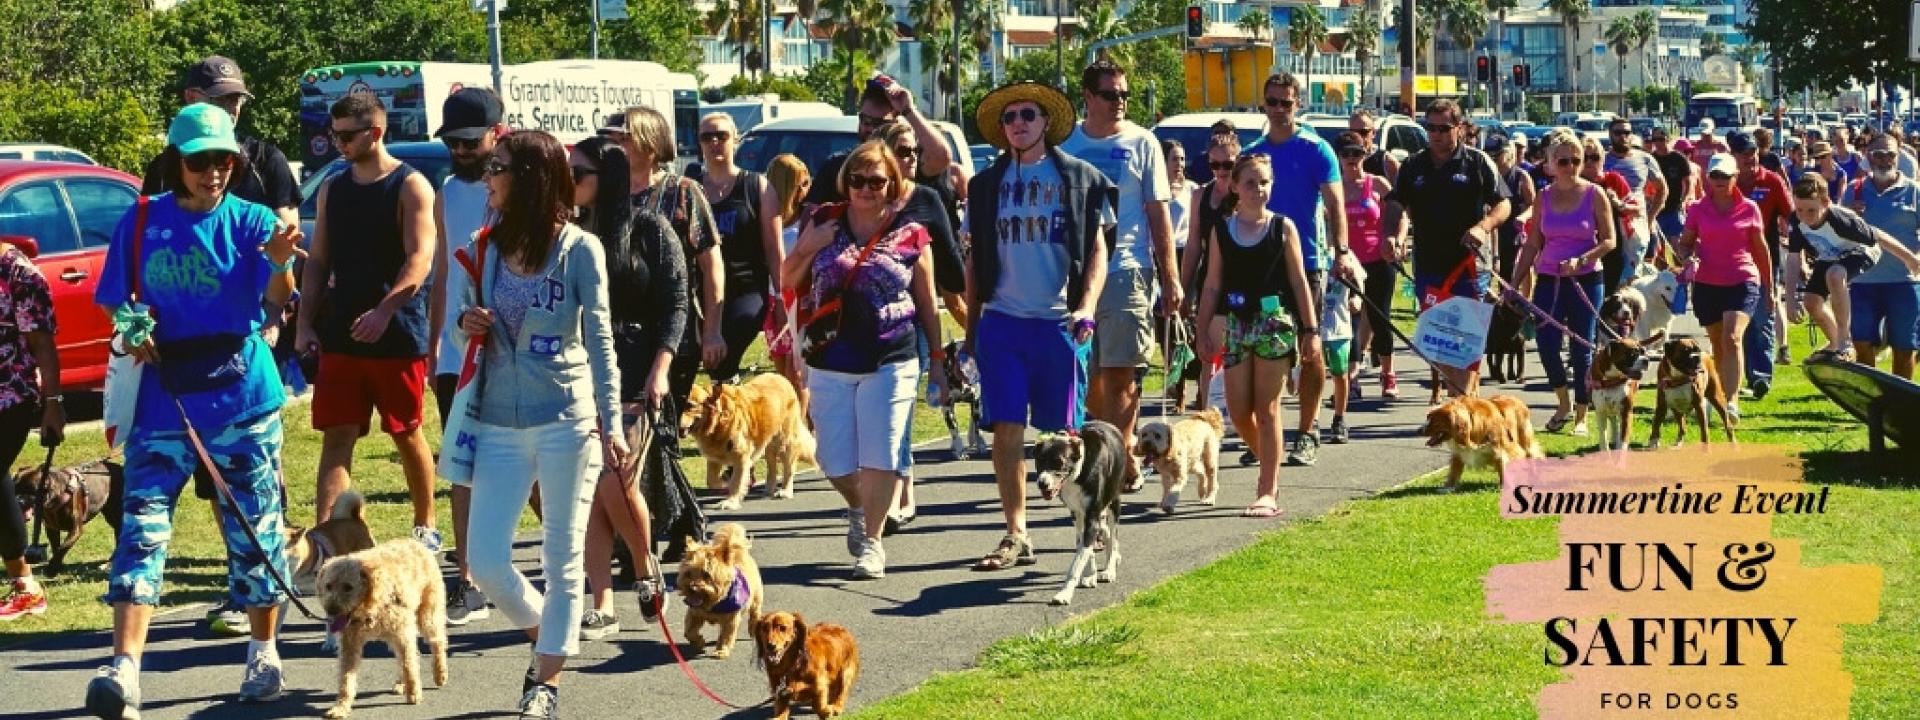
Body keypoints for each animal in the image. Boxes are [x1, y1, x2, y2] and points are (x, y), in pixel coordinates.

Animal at [316, 537, 451, 718]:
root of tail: (415, 541)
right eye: (328, 586)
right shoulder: (349, 645)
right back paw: (402, 684)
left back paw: (439, 674)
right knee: (411, 655)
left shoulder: (402, 634)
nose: (331, 610)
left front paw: (414, 693)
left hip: (427, 616)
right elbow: (346, 678)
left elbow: (409, 665)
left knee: (437, 643)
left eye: (348, 587)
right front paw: (341, 707)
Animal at [675, 526, 764, 660]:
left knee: (755, 615)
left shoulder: (730, 620)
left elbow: (726, 637)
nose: (692, 587)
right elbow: (688, 632)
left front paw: (721, 651)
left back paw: (753, 629)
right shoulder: (694, 613)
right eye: (688, 574)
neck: (713, 603)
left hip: (756, 600)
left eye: (706, 574)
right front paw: (699, 642)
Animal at [683, 374, 810, 510]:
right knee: (772, 468)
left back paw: (785, 491)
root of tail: (780, 377)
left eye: (690, 405)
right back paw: (769, 489)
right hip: (768, 445)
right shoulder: (714, 456)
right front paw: (722, 485)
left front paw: (730, 502)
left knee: (789, 468)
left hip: (785, 441)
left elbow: (736, 481)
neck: (718, 420)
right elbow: (710, 480)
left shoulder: (741, 456)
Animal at [1036, 420, 1121, 606]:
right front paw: (1090, 575)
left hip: (1113, 502)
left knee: (1113, 536)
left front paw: (1064, 593)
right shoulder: (1078, 515)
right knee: (1105, 531)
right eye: (1038, 462)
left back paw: (1110, 569)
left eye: (1059, 462)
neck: (1077, 474)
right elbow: (1084, 550)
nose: (1042, 483)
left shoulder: (1092, 517)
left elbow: (1078, 561)